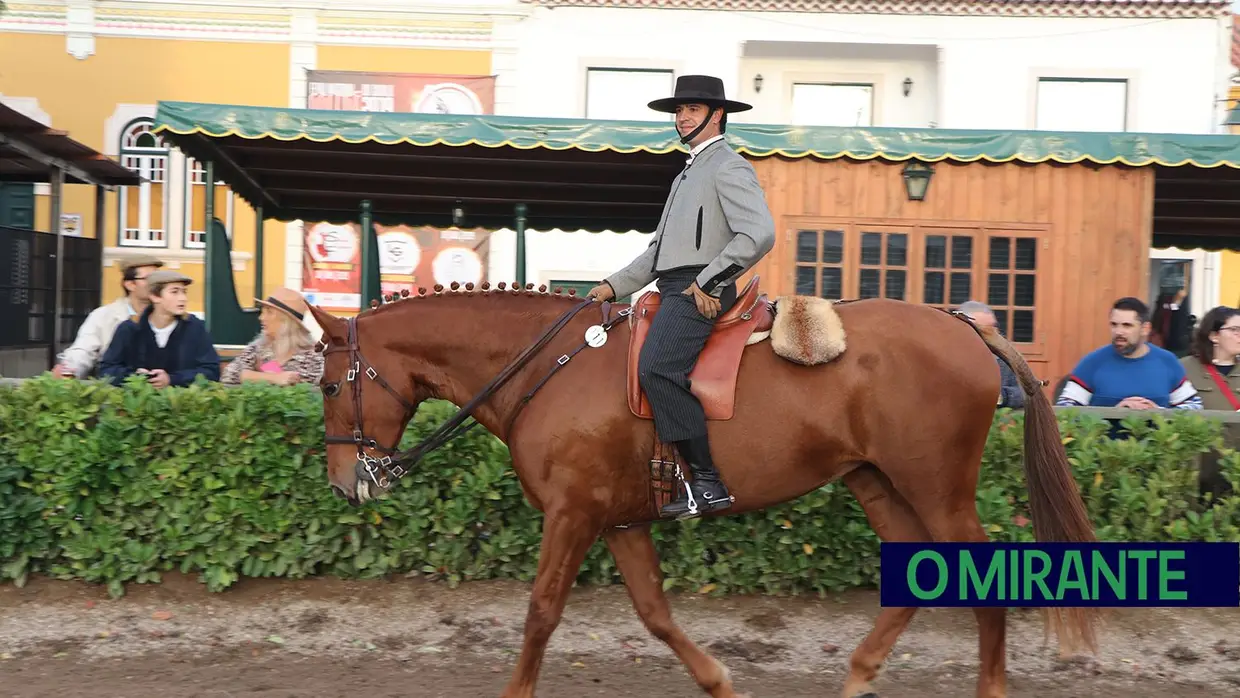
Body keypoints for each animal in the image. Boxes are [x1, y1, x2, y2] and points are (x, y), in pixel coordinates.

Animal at [305, 280, 1101, 698]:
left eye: (328, 385)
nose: (344, 485)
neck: (547, 368)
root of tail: (961, 324)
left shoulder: (573, 512)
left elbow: (540, 613)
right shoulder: (618, 520)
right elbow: (655, 614)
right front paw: (718, 680)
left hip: (936, 487)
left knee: (981, 580)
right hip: (877, 481)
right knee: (909, 571)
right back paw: (857, 675)